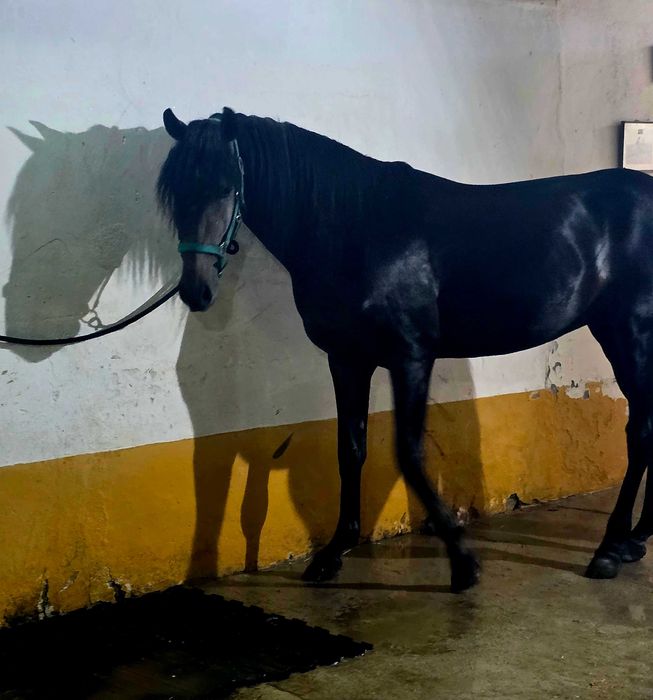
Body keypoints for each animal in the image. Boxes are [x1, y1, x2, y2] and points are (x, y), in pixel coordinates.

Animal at [157, 106, 653, 592]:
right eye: (175, 194)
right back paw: (635, 539)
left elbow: (408, 452)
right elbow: (350, 449)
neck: (356, 227)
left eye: (226, 187)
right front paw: (334, 552)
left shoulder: (410, 357)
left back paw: (610, 548)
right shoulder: (347, 360)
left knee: (641, 432)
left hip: (630, 333)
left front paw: (463, 562)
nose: (196, 291)